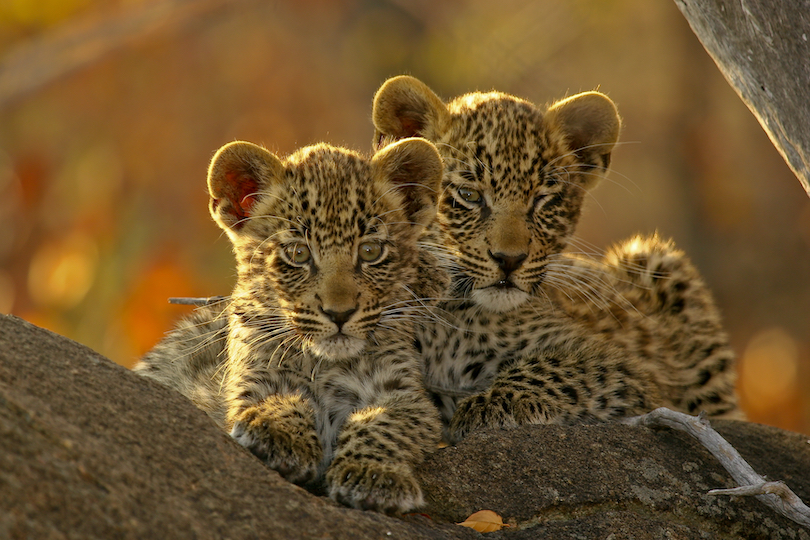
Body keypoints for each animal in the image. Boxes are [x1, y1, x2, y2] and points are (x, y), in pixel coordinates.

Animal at [134, 137, 448, 513]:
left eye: (371, 251)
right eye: (298, 254)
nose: (339, 313)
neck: (327, 364)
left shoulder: (407, 396)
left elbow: (384, 424)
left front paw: (374, 477)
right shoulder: (252, 379)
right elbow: (280, 400)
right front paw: (278, 436)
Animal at [370, 75, 742, 443]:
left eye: (543, 200)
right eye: (469, 195)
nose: (509, 260)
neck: (446, 317)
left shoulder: (622, 369)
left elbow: (552, 370)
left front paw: (489, 404)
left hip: (655, 261)